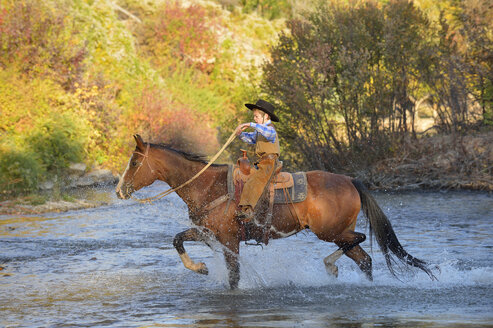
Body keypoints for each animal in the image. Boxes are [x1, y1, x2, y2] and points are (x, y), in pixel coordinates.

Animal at [114, 135, 434, 288]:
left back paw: (330, 264)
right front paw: (201, 267)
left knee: (359, 240)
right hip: (337, 231)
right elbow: (177, 239)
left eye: (134, 162)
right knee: (364, 259)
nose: (119, 190)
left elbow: (234, 276)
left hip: (329, 231)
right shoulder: (208, 234)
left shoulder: (229, 239)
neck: (208, 186)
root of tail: (351, 181)